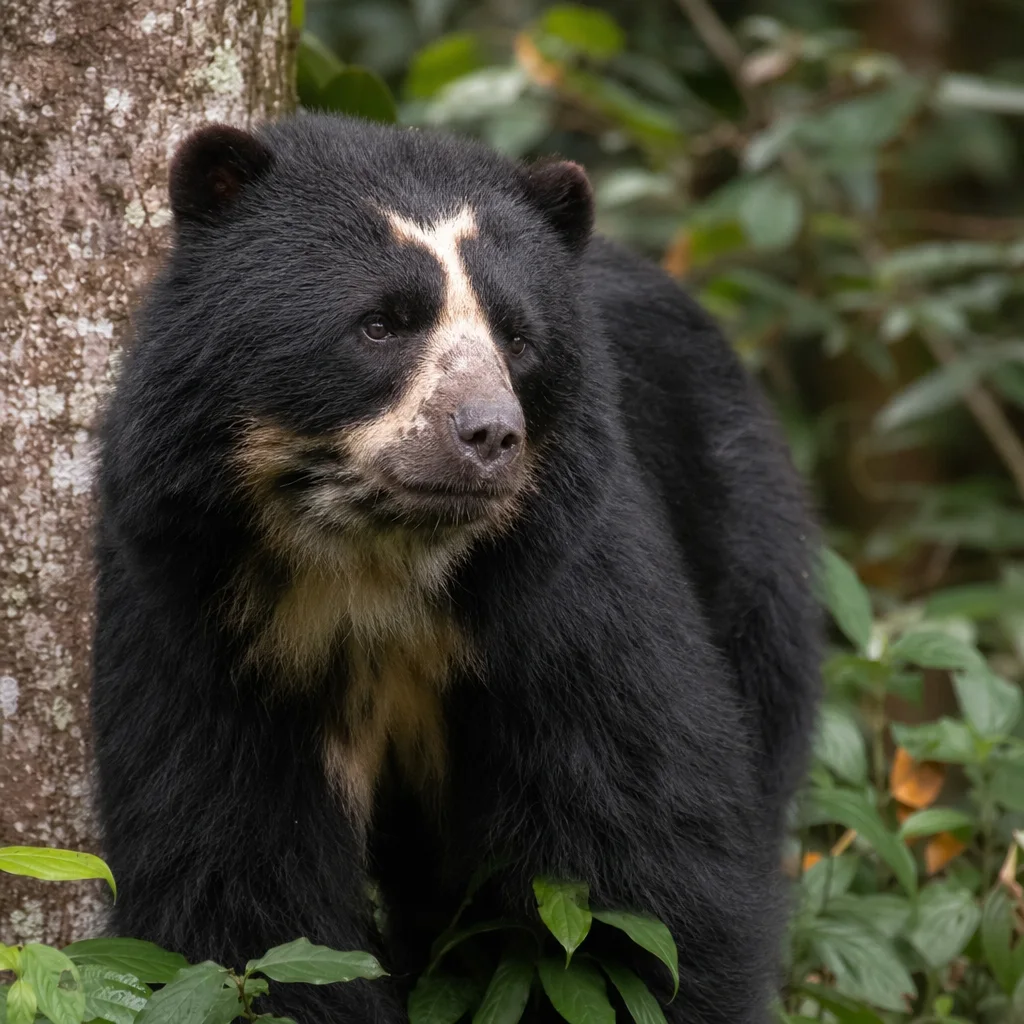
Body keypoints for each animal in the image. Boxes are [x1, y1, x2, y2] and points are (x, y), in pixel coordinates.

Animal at [91, 114, 821, 1024]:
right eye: (380, 323)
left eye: (519, 338)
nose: (490, 434)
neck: (377, 558)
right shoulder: (204, 613)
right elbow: (236, 881)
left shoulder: (564, 593)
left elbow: (646, 872)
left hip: (744, 547)